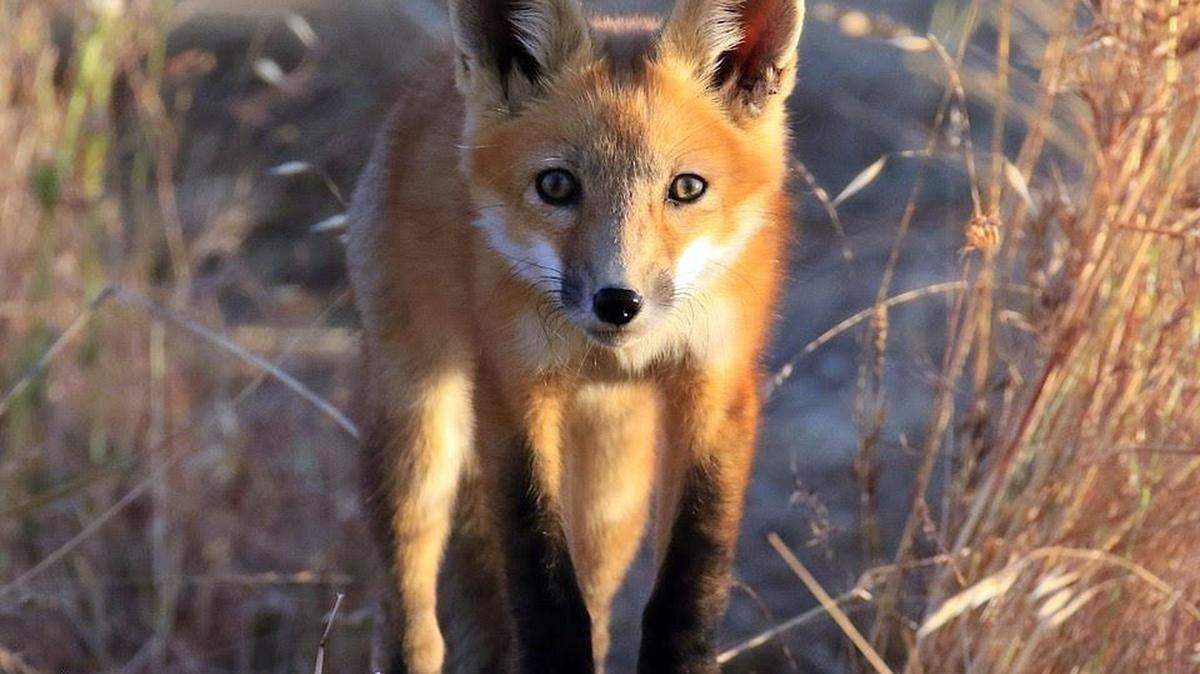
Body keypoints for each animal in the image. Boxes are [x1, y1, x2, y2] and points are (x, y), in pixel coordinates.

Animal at [346, 0, 805, 672]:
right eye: (557, 186)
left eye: (687, 188)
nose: (618, 303)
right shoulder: (511, 392)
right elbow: (542, 585)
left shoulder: (718, 386)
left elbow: (691, 575)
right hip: (422, 432)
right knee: (410, 618)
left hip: (611, 490)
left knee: (597, 603)